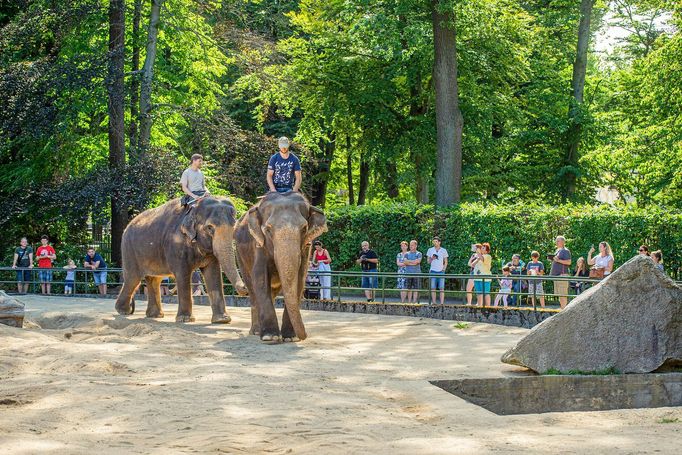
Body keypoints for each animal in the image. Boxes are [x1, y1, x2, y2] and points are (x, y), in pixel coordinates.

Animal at [114, 196, 247, 324]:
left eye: (234, 226)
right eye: (210, 227)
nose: (245, 288)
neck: (194, 208)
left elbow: (213, 273)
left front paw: (222, 320)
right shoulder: (175, 244)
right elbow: (182, 273)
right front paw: (185, 319)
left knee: (154, 280)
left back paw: (155, 315)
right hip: (129, 250)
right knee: (133, 279)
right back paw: (124, 311)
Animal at [236, 191, 326, 344]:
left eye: (304, 228)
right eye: (268, 229)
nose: (305, 335)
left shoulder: (306, 248)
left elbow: (300, 280)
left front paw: (290, 337)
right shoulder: (258, 244)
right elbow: (260, 279)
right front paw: (270, 337)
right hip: (240, 256)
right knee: (252, 289)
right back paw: (256, 332)